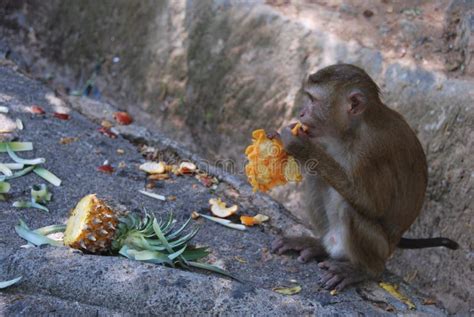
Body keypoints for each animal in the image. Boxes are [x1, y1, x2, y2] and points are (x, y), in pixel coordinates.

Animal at [270, 64, 460, 292]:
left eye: (313, 100)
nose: (301, 112)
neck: (352, 131)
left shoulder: (370, 151)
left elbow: (373, 205)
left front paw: (300, 146)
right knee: (317, 180)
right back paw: (320, 246)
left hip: (379, 248)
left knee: (348, 208)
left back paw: (364, 270)